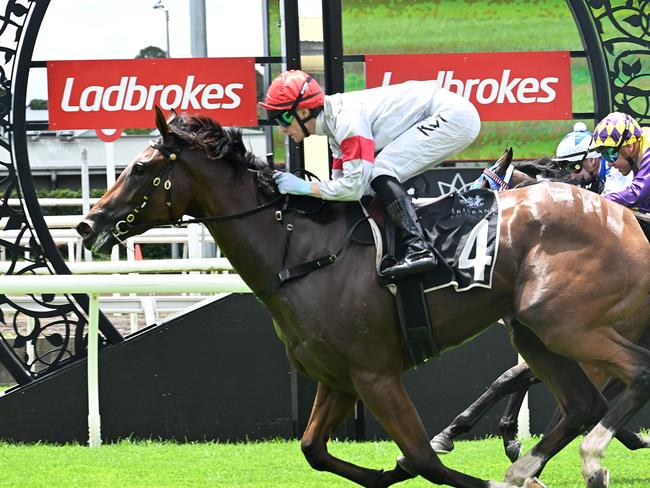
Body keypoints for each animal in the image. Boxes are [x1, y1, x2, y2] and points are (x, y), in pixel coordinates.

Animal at [77, 108, 650, 486]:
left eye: (142, 168)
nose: (88, 223)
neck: (300, 251)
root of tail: (625, 222)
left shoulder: (376, 373)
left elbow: (424, 459)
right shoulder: (338, 376)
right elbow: (315, 449)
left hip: (562, 322)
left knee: (632, 375)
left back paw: (590, 455)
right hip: (534, 330)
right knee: (582, 402)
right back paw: (539, 463)